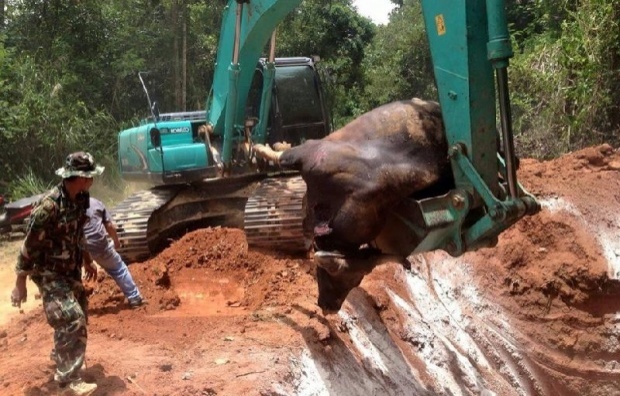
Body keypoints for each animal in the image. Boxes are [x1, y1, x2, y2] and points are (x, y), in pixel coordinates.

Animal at [252, 98, 450, 312]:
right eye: (330, 274)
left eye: (355, 281)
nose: (330, 307)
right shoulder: (307, 153)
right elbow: (281, 156)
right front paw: (260, 146)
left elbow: (281, 157)